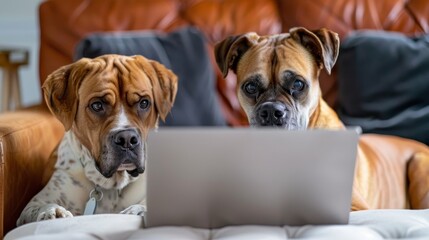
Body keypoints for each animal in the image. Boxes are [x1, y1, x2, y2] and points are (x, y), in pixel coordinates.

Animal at [16, 54, 176, 225]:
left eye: (144, 103)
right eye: (97, 105)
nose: (127, 138)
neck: (112, 184)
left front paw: (138, 210)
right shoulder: (36, 202)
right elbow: (41, 206)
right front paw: (53, 212)